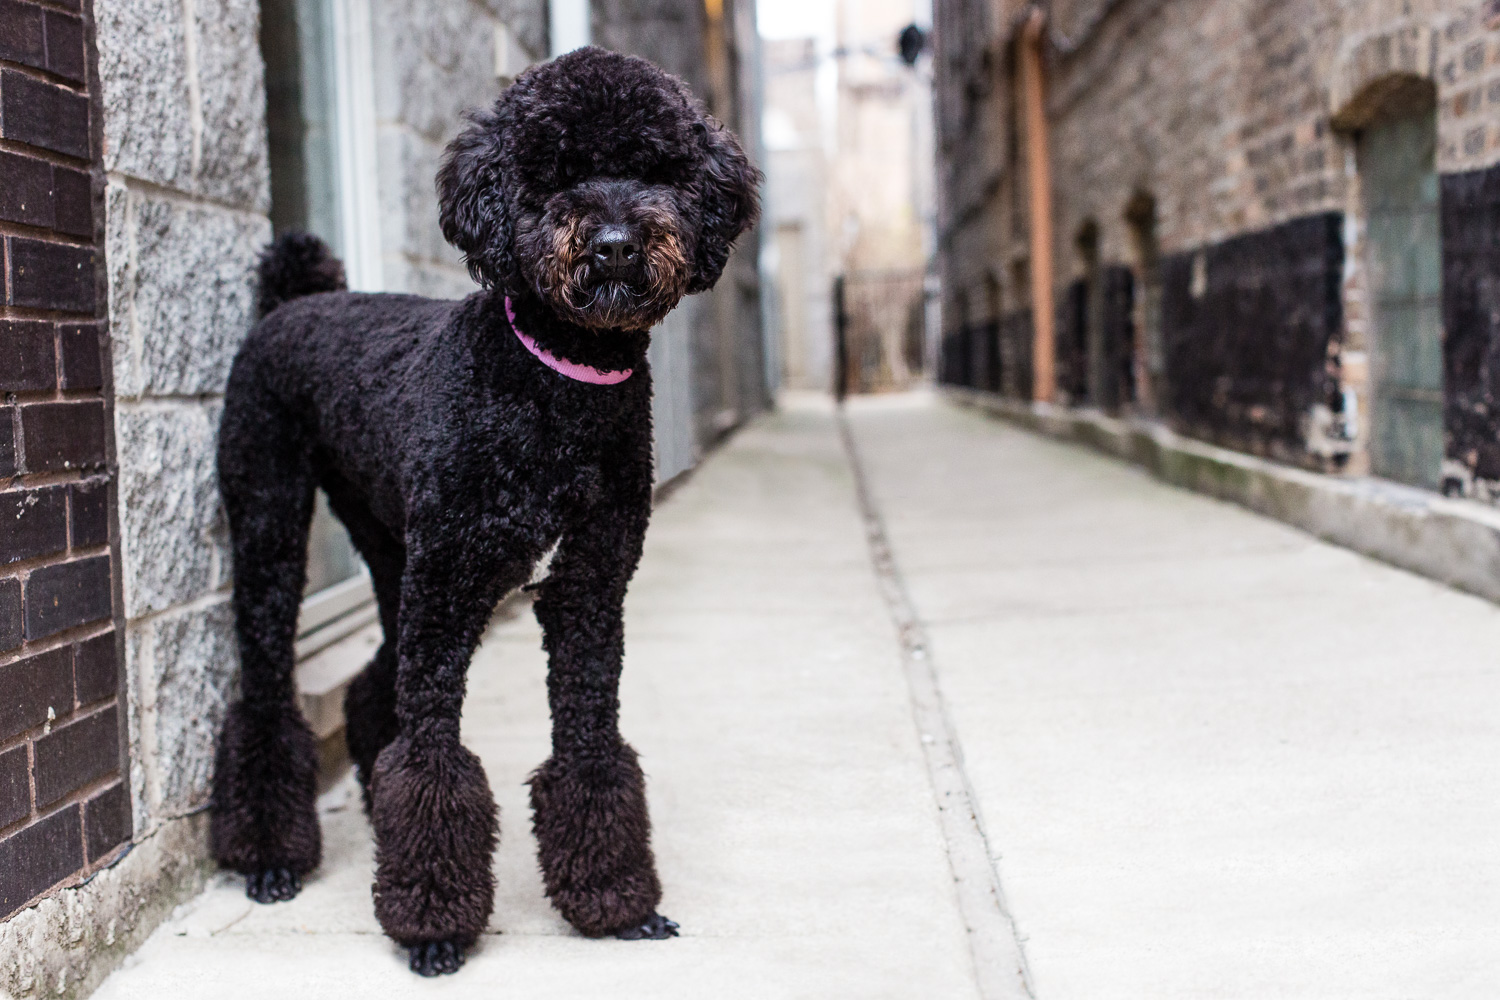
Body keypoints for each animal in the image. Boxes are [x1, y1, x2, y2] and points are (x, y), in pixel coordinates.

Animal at [208, 48, 762, 977]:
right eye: (552, 174)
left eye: (659, 169)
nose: (614, 242)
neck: (556, 388)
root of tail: (290, 303)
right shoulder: (451, 592)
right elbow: (432, 757)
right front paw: (433, 923)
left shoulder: (588, 593)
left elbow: (589, 745)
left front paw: (613, 901)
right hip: (273, 523)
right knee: (266, 685)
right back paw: (270, 857)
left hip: (393, 548)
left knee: (376, 683)